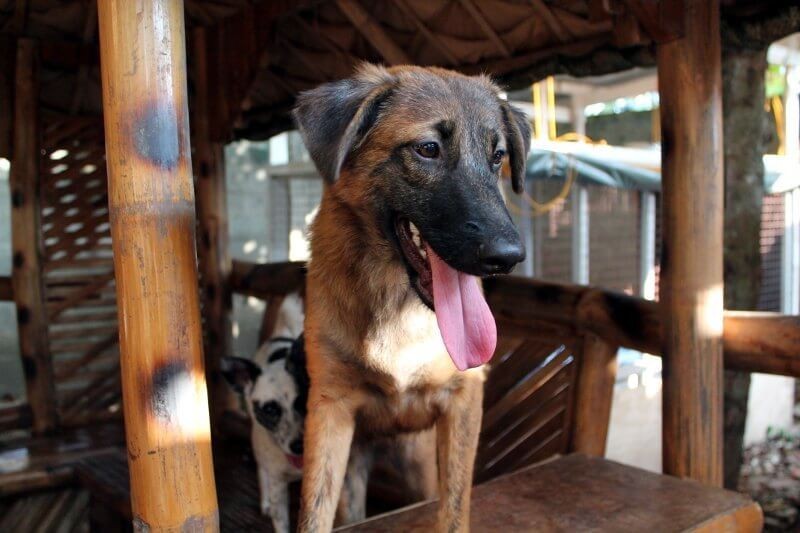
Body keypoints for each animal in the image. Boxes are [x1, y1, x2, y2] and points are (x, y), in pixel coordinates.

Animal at [223, 294, 308, 528]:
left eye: (302, 401)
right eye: (270, 410)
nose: (299, 446)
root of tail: (279, 336)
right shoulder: (279, 486)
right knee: (262, 471)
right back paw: (265, 502)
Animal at [294, 64, 532, 528]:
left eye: (498, 156)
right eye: (428, 149)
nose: (508, 257)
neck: (395, 308)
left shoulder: (463, 399)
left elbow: (454, 507)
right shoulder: (330, 407)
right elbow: (313, 512)